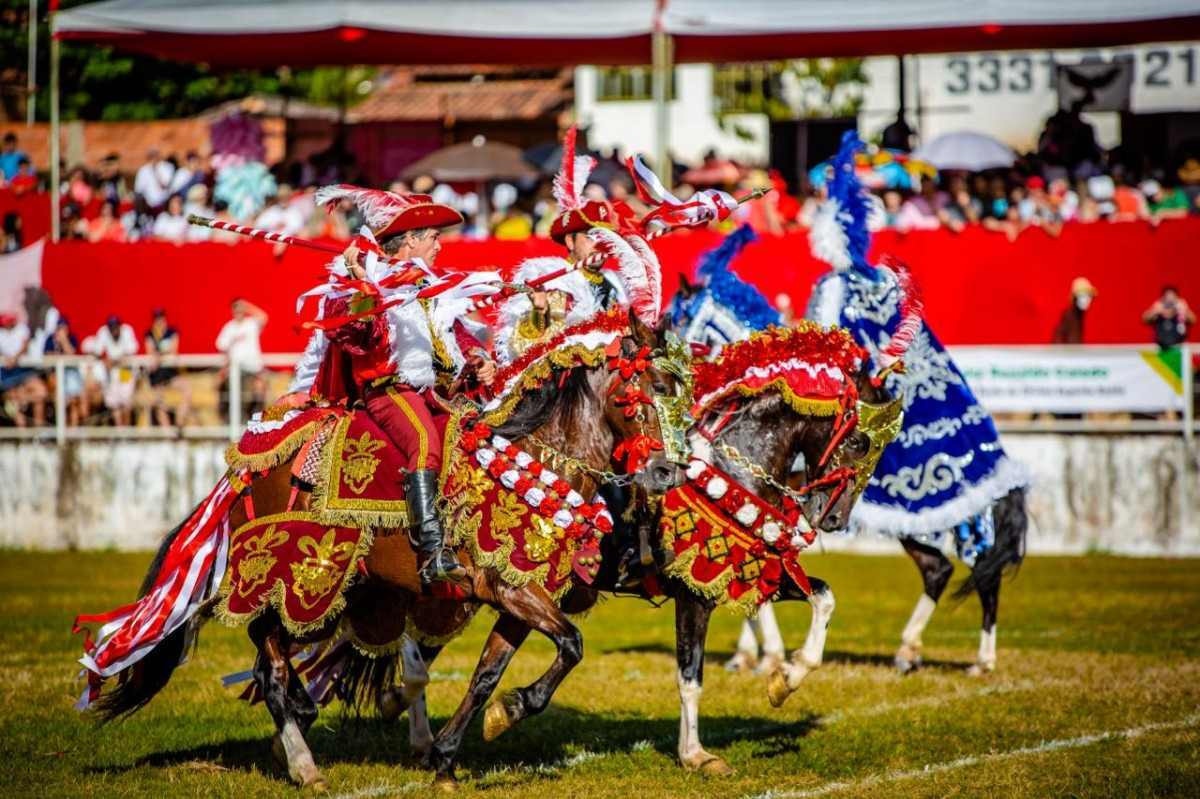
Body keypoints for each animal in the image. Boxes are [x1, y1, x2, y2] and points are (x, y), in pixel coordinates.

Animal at [77, 305, 686, 791]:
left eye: (674, 390)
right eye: (642, 390)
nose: (664, 471)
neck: (540, 462)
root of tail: (252, 465)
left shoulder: (521, 601)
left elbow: (492, 675)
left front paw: (452, 750)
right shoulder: (508, 590)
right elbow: (572, 645)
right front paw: (495, 719)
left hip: (344, 593)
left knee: (273, 655)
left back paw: (304, 713)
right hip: (297, 578)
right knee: (266, 654)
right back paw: (303, 762)